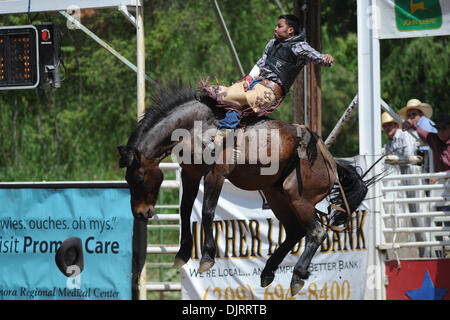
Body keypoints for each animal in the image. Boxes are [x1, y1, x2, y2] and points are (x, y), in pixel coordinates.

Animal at [118, 84, 370, 296]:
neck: (198, 126)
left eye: (139, 177)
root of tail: (330, 161)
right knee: (295, 231)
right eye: (127, 179)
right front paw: (182, 253)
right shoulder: (190, 173)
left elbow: (207, 212)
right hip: (276, 195)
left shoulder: (216, 174)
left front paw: (207, 257)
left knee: (315, 231)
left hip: (298, 196)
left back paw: (297, 276)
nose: (140, 213)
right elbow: (185, 210)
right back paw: (268, 272)